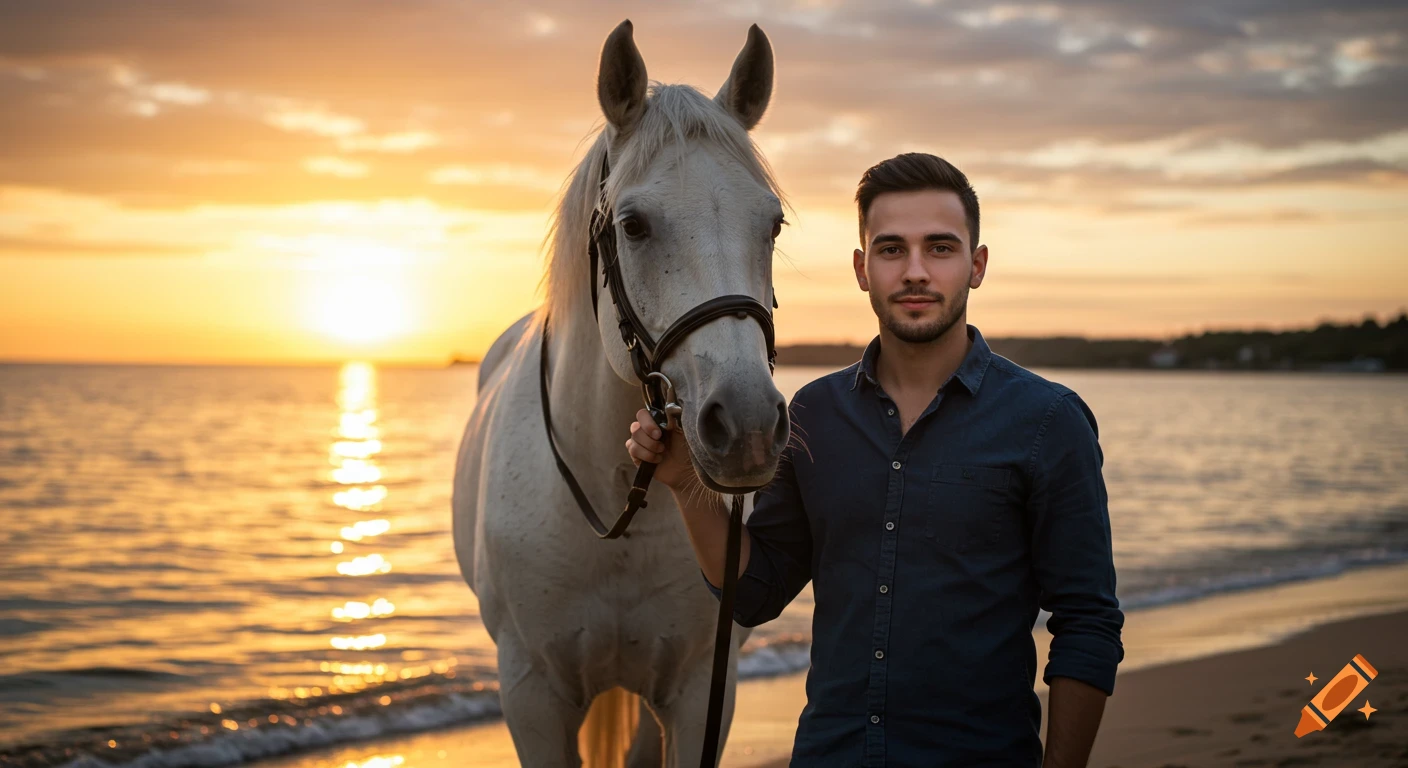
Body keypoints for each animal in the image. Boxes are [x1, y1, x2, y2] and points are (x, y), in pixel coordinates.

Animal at [452, 20, 790, 767]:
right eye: (633, 224)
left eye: (772, 224)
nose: (749, 427)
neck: (614, 506)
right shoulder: (532, 694)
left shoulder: (700, 691)